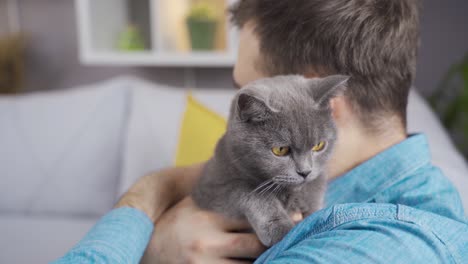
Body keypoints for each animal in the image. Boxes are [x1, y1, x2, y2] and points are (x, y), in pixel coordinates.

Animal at [190, 73, 348, 245]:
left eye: (319, 146)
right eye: (280, 150)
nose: (305, 172)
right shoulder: (212, 189)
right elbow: (250, 192)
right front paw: (280, 229)